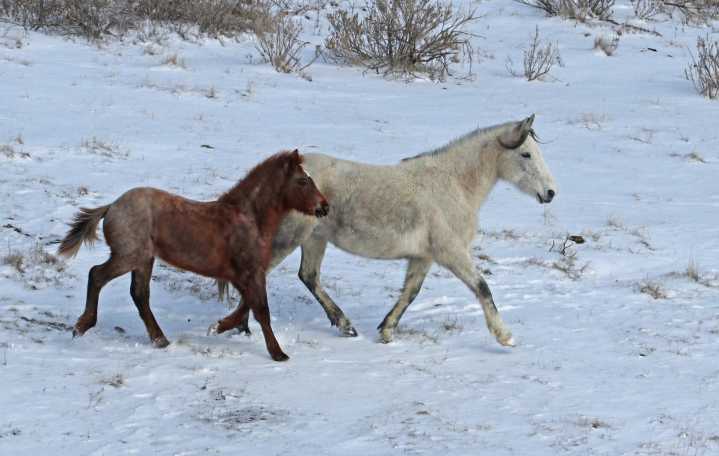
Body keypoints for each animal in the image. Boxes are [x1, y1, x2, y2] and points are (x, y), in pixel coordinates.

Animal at [58, 149, 329, 361]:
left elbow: (247, 306)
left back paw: (160, 339)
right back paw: (81, 327)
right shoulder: (250, 273)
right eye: (302, 181)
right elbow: (261, 310)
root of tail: (111, 207)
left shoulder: (242, 275)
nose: (324, 207)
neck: (248, 218)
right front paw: (278, 354)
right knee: (97, 275)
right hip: (129, 256)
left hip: (144, 260)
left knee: (139, 294)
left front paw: (218, 327)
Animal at [215, 115, 557, 348]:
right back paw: (242, 327)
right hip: (291, 238)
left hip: (314, 239)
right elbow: (482, 287)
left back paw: (344, 325)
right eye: (525, 154)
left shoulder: (423, 257)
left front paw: (387, 330)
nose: (550, 193)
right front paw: (505, 336)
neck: (454, 185)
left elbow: (410, 293)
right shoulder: (451, 253)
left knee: (309, 277)